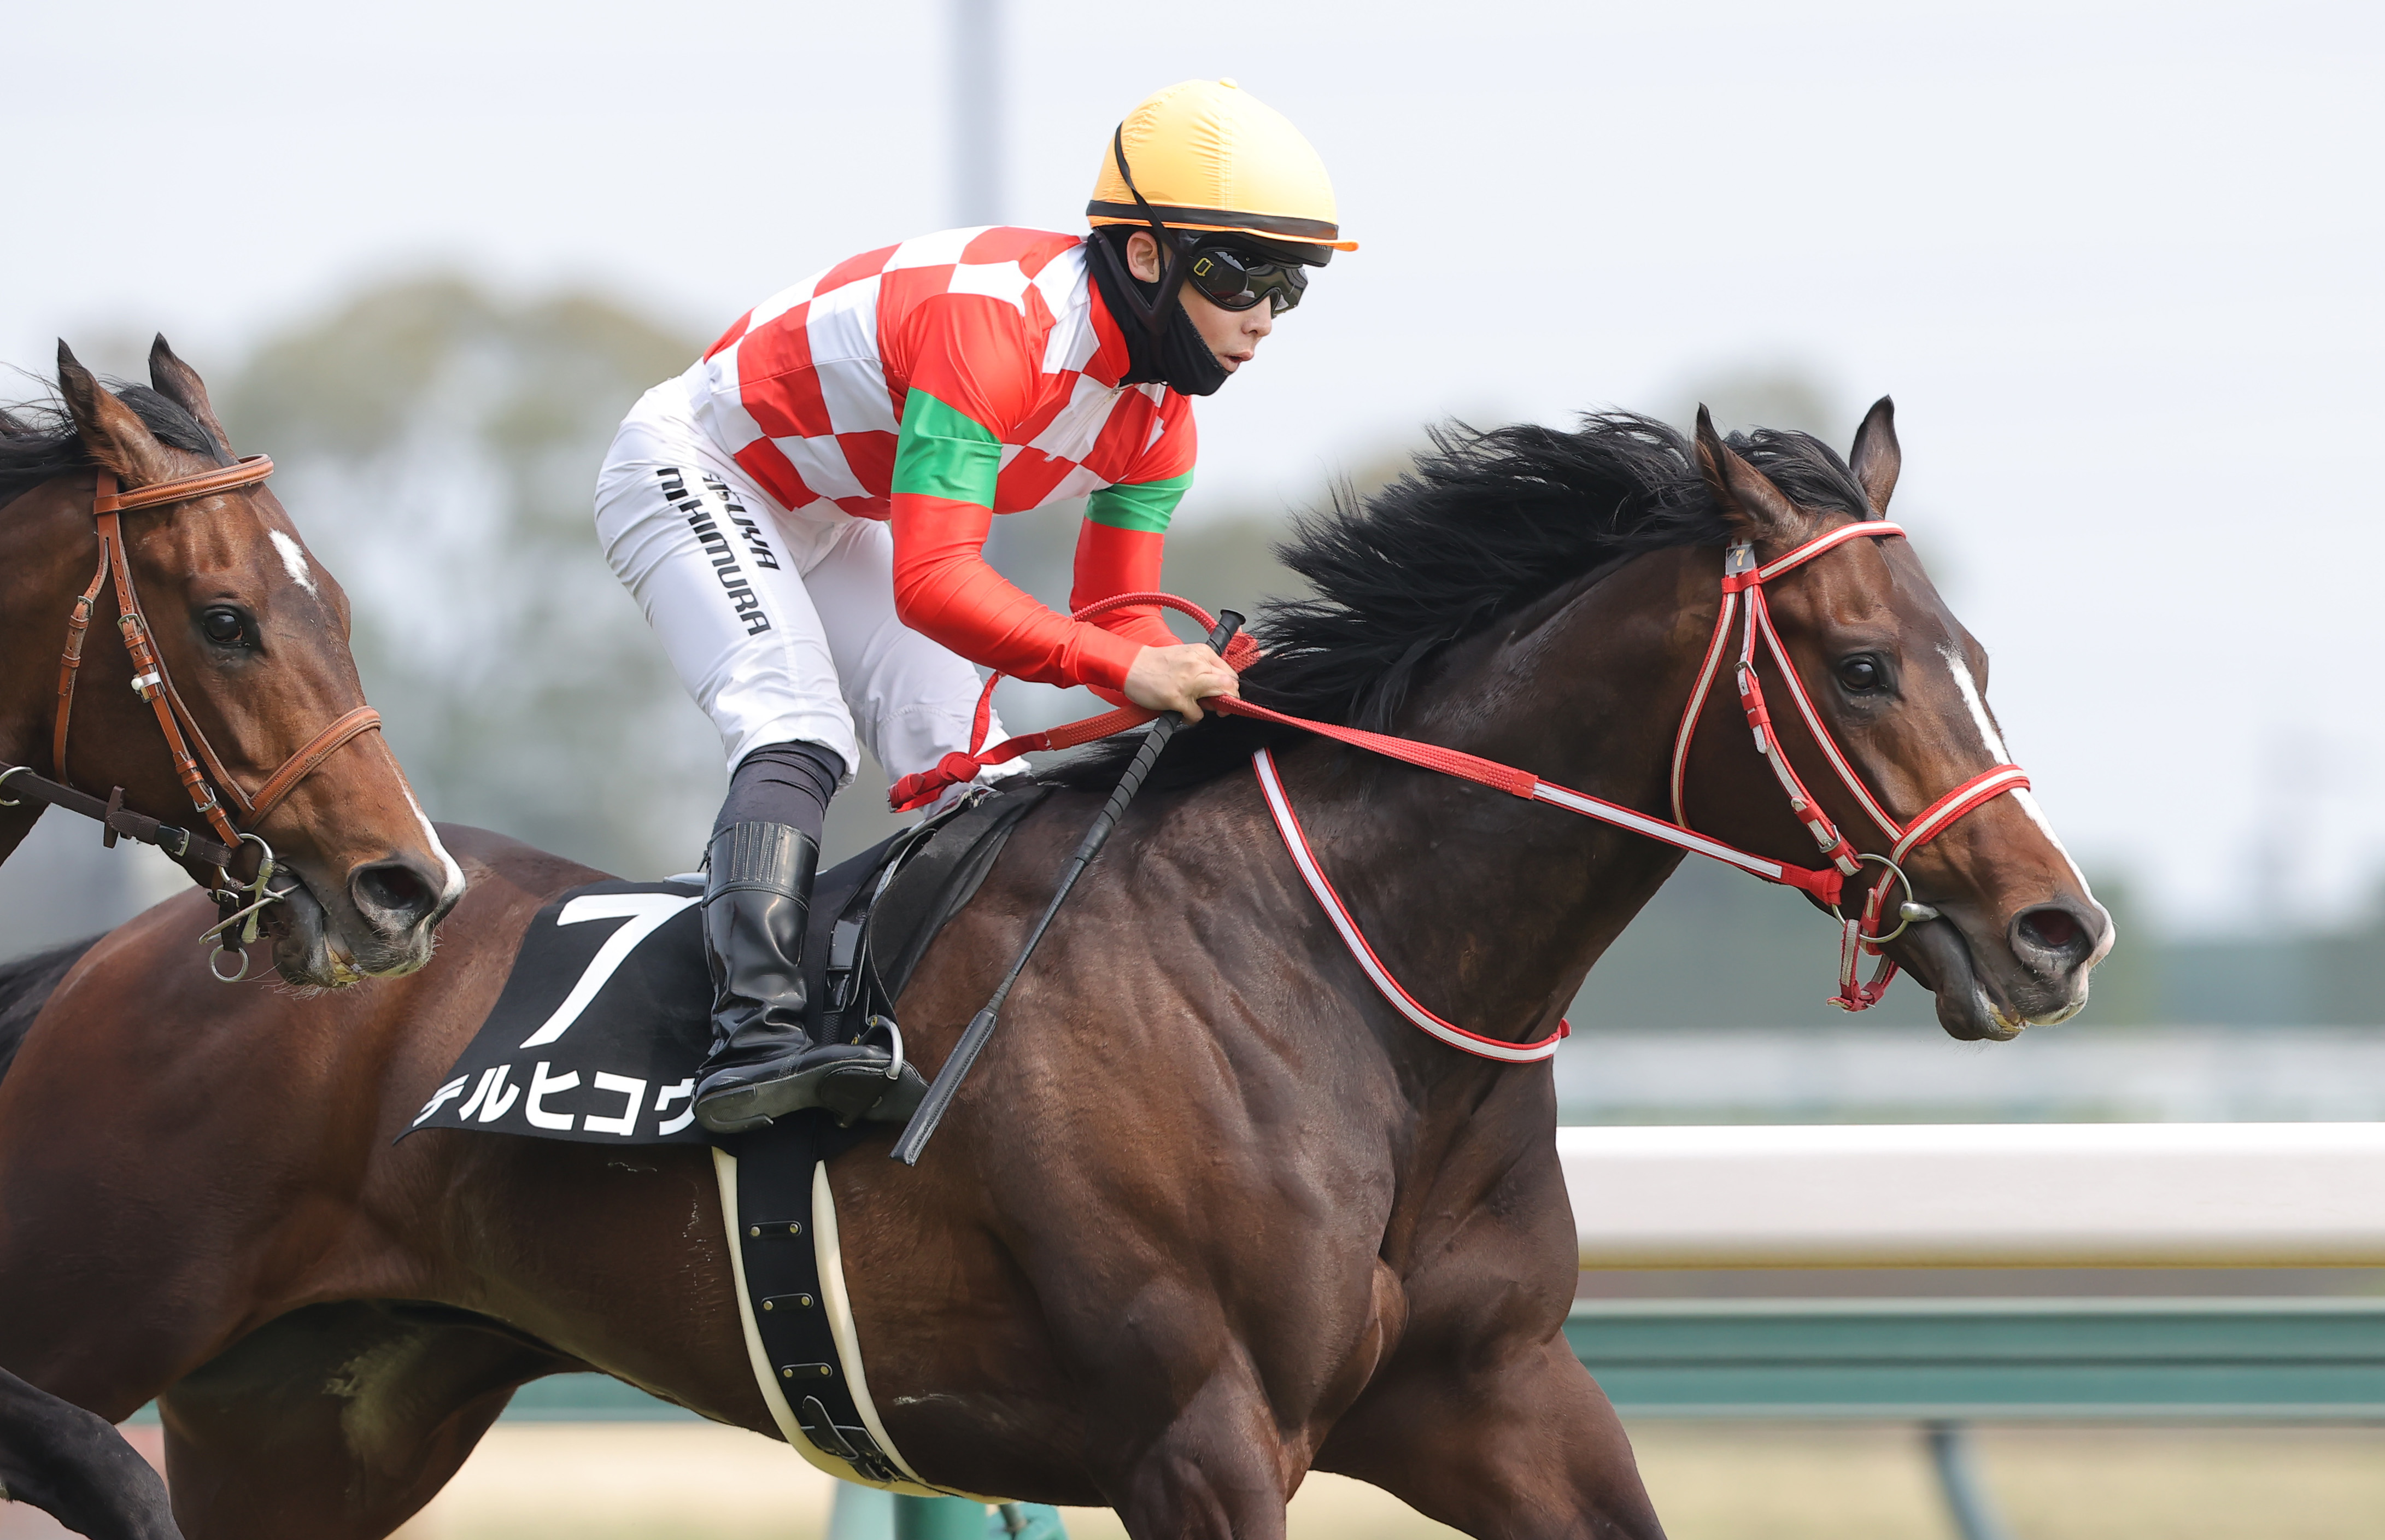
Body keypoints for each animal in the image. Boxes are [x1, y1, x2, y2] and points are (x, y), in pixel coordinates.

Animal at [0, 401, 2109, 1540]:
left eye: (1973, 648)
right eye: (1860, 664)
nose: (2054, 926)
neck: (1354, 996)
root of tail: (119, 956)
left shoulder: (1500, 1401)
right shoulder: (1204, 1438)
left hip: (317, 1407)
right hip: (110, 1310)